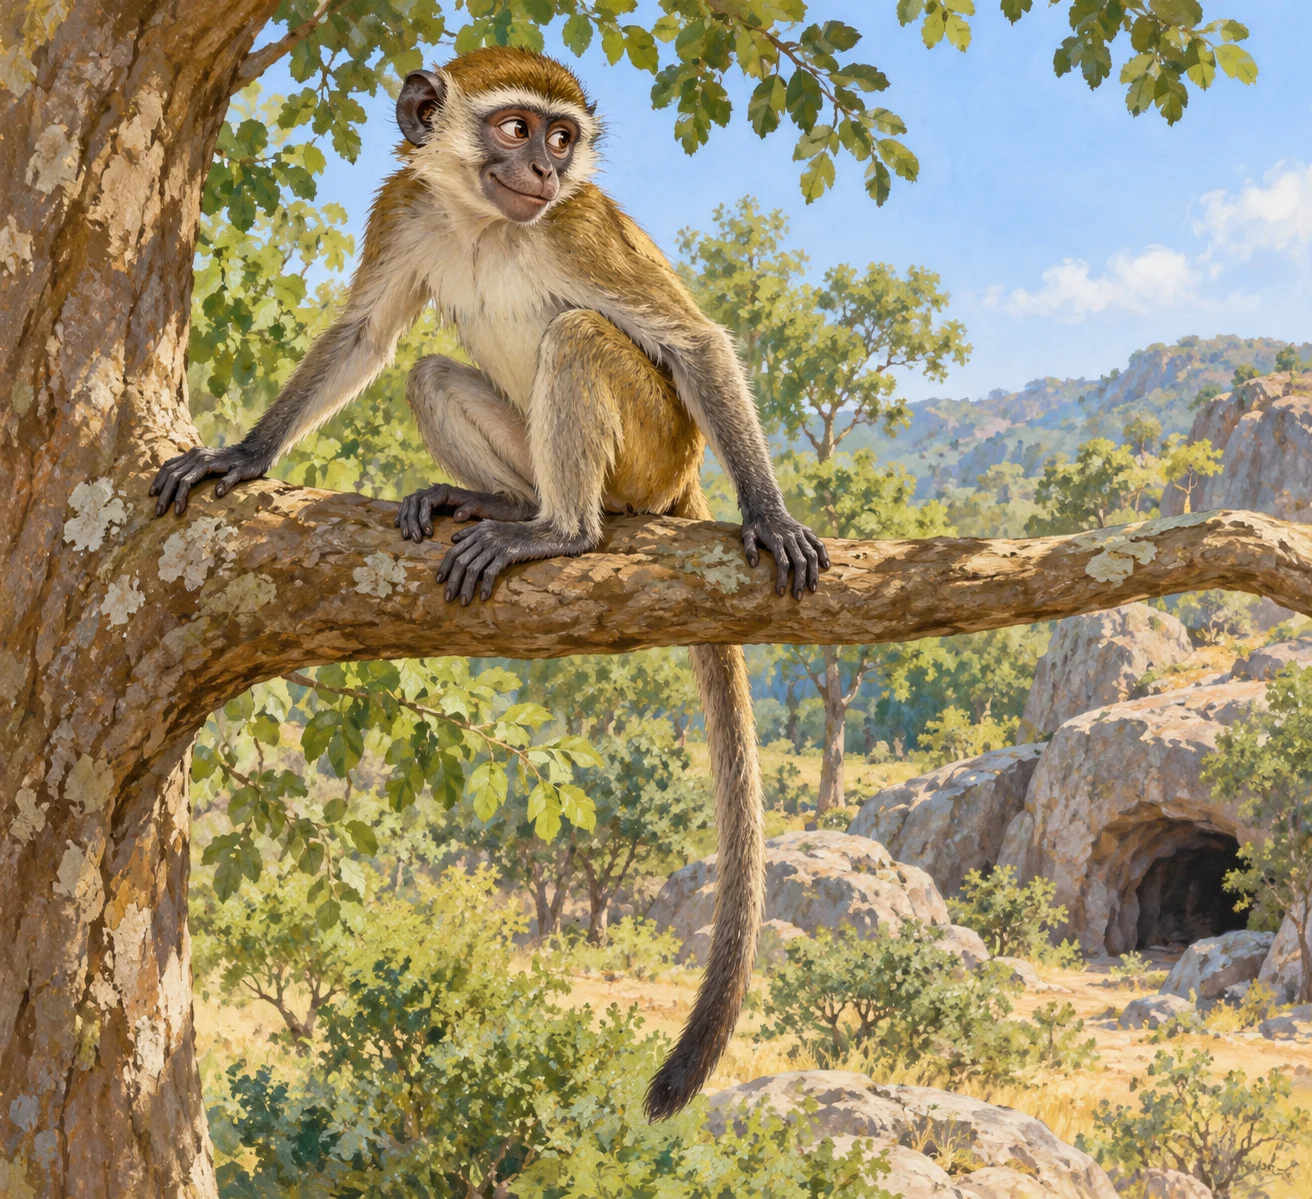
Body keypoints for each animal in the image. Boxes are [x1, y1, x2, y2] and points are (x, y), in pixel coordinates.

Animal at [151, 48, 829, 1119]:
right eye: (516, 129)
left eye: (561, 137)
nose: (546, 173)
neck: (482, 220)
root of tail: (674, 483)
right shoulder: (405, 206)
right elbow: (365, 337)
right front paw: (243, 455)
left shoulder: (584, 228)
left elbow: (694, 343)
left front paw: (769, 512)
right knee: (431, 371)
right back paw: (495, 503)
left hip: (651, 449)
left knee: (583, 339)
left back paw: (559, 532)